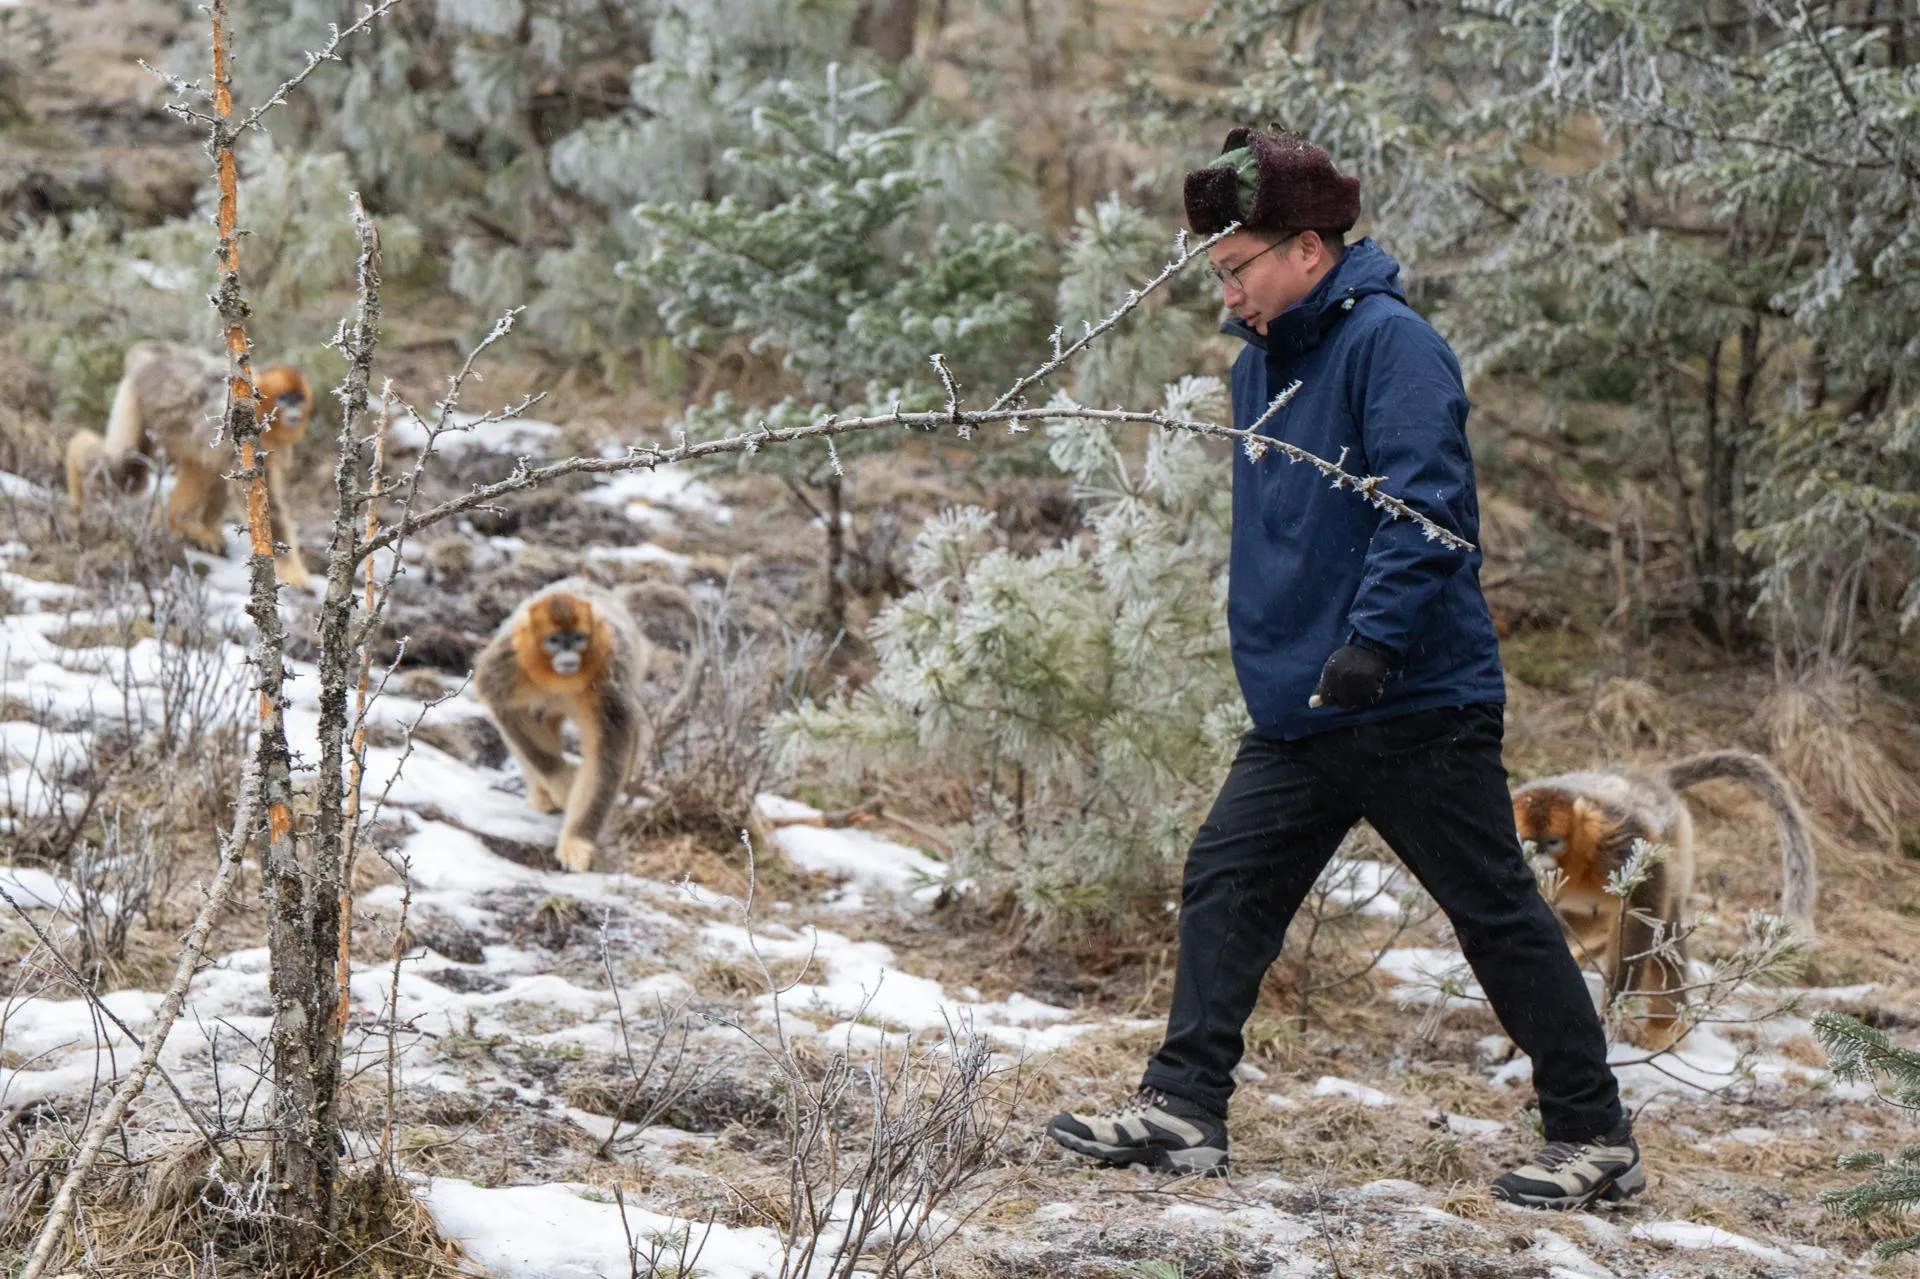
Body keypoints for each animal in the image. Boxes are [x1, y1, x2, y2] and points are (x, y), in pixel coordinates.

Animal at [64, 341, 315, 592]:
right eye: (285, 399)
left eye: (298, 399)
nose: (294, 412)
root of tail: (151, 354)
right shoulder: (242, 439)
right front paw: (294, 574)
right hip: (139, 405)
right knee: (127, 471)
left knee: (199, 467)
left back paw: (179, 524)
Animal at [1512, 751, 1816, 1051]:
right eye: (1526, 842)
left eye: (1552, 842)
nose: (1536, 861)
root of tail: (1653, 781)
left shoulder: (1620, 842)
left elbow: (1641, 914)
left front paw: (1613, 1011)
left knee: (1664, 935)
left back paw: (1664, 1027)